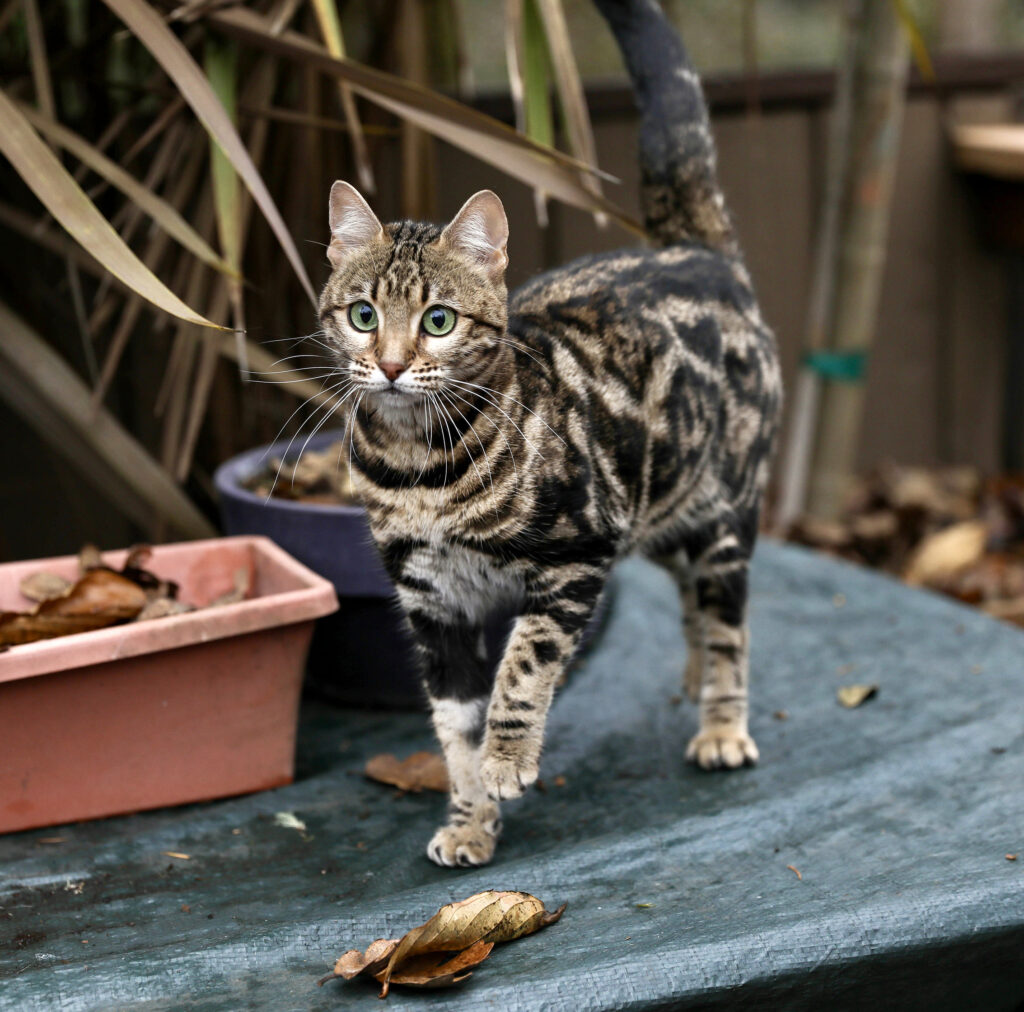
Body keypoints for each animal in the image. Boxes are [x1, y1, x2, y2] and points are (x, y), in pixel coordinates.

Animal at [315, 1, 778, 868]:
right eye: (362, 314)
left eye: (437, 321)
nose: (389, 365)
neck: (419, 466)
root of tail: (693, 248)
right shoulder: (432, 602)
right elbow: (451, 728)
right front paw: (469, 821)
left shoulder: (576, 554)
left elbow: (523, 667)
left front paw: (506, 758)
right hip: (663, 510)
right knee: (694, 598)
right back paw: (693, 675)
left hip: (726, 511)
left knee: (730, 618)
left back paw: (722, 724)